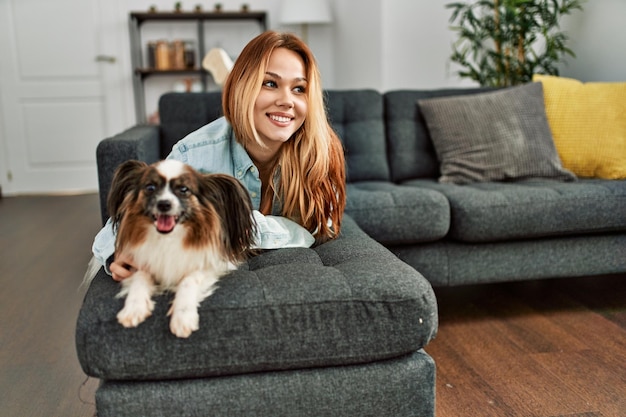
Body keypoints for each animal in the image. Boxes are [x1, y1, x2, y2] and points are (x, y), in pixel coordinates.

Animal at [86, 159, 255, 338]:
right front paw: (134, 308)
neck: (168, 238)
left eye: (184, 190)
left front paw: (183, 317)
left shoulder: (210, 265)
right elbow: (139, 278)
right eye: (150, 187)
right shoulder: (142, 263)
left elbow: (189, 281)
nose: (164, 204)